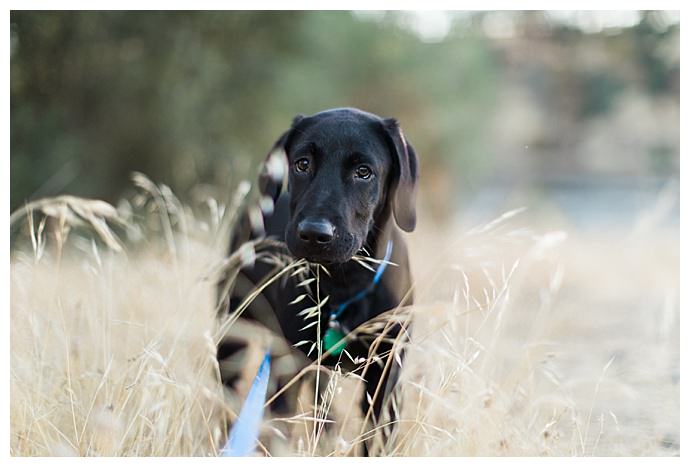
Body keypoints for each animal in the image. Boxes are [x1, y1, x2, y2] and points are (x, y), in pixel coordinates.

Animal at [218, 108, 416, 444]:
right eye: (302, 164)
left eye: (364, 171)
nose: (313, 233)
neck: (344, 284)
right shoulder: (290, 366)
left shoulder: (386, 377)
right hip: (233, 329)